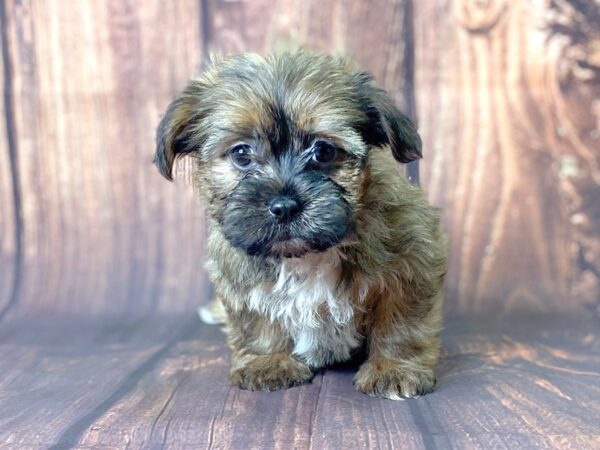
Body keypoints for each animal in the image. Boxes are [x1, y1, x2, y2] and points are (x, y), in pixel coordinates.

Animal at [155, 51, 446, 400]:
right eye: (241, 153)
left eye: (323, 151)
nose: (284, 206)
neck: (306, 256)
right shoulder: (237, 271)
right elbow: (257, 318)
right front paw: (267, 360)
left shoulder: (413, 259)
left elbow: (401, 321)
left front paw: (394, 367)